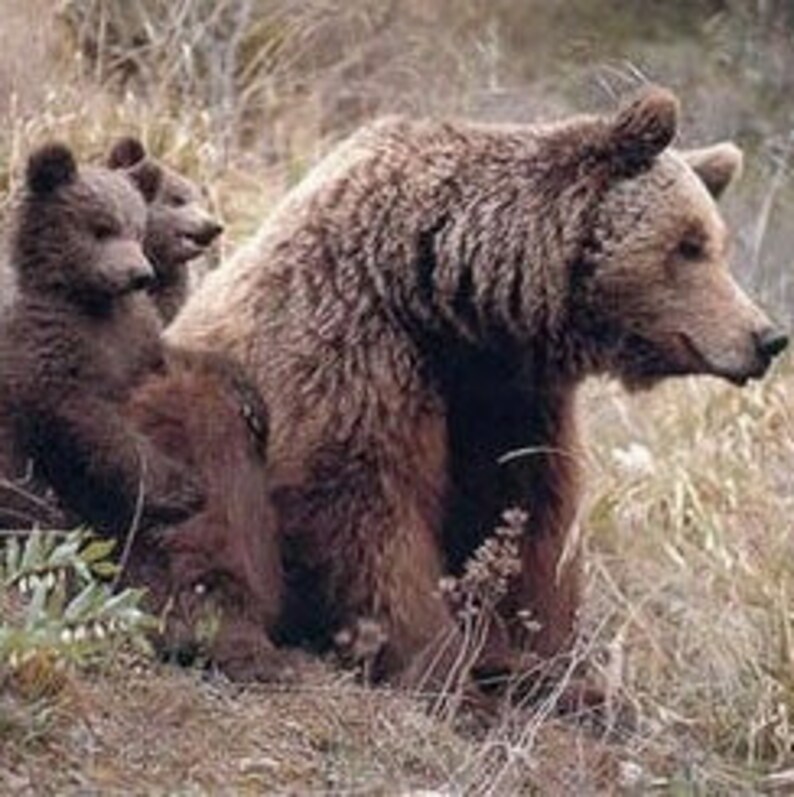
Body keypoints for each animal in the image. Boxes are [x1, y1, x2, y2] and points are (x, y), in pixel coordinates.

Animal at [0, 142, 205, 535]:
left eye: (137, 230)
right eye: (101, 228)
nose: (140, 274)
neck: (89, 300)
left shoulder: (137, 332)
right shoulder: (48, 341)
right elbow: (87, 416)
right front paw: (181, 491)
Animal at [168, 87, 788, 688]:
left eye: (715, 242)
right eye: (689, 245)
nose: (767, 337)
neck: (448, 303)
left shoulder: (507, 400)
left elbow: (525, 520)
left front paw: (541, 657)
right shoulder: (355, 354)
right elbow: (362, 511)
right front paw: (440, 661)